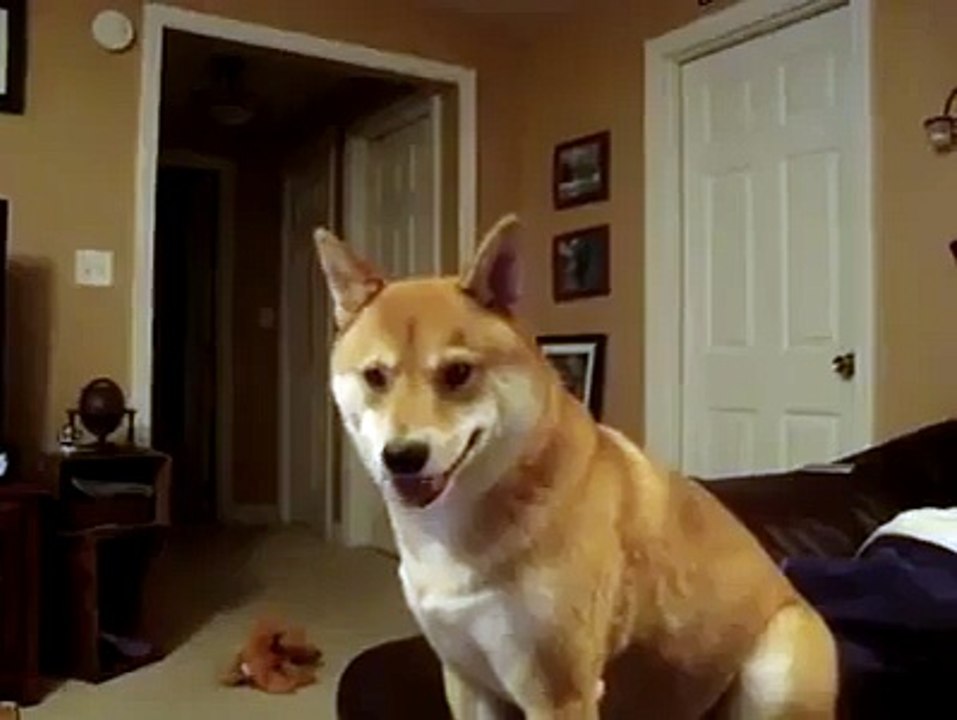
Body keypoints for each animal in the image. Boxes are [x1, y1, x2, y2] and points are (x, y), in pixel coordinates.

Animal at [314, 214, 838, 719]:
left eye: (458, 373)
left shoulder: (557, 693)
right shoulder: (468, 681)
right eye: (375, 376)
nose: (402, 456)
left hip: (775, 672)